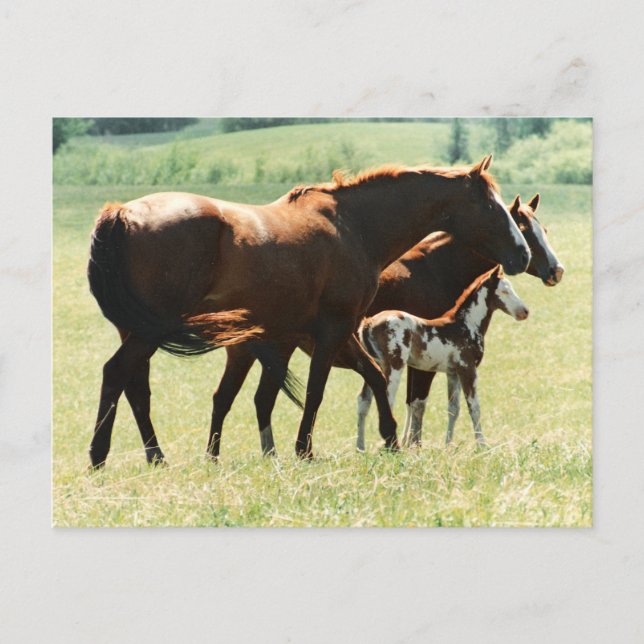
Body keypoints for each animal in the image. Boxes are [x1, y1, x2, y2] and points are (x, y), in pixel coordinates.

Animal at [357, 266, 529, 449]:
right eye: (504, 291)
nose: (525, 312)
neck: (466, 325)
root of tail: (368, 323)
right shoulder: (467, 369)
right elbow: (474, 407)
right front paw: (482, 445)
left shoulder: (453, 373)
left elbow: (453, 409)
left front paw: (448, 446)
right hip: (394, 366)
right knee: (387, 401)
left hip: (376, 365)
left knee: (364, 401)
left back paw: (361, 448)